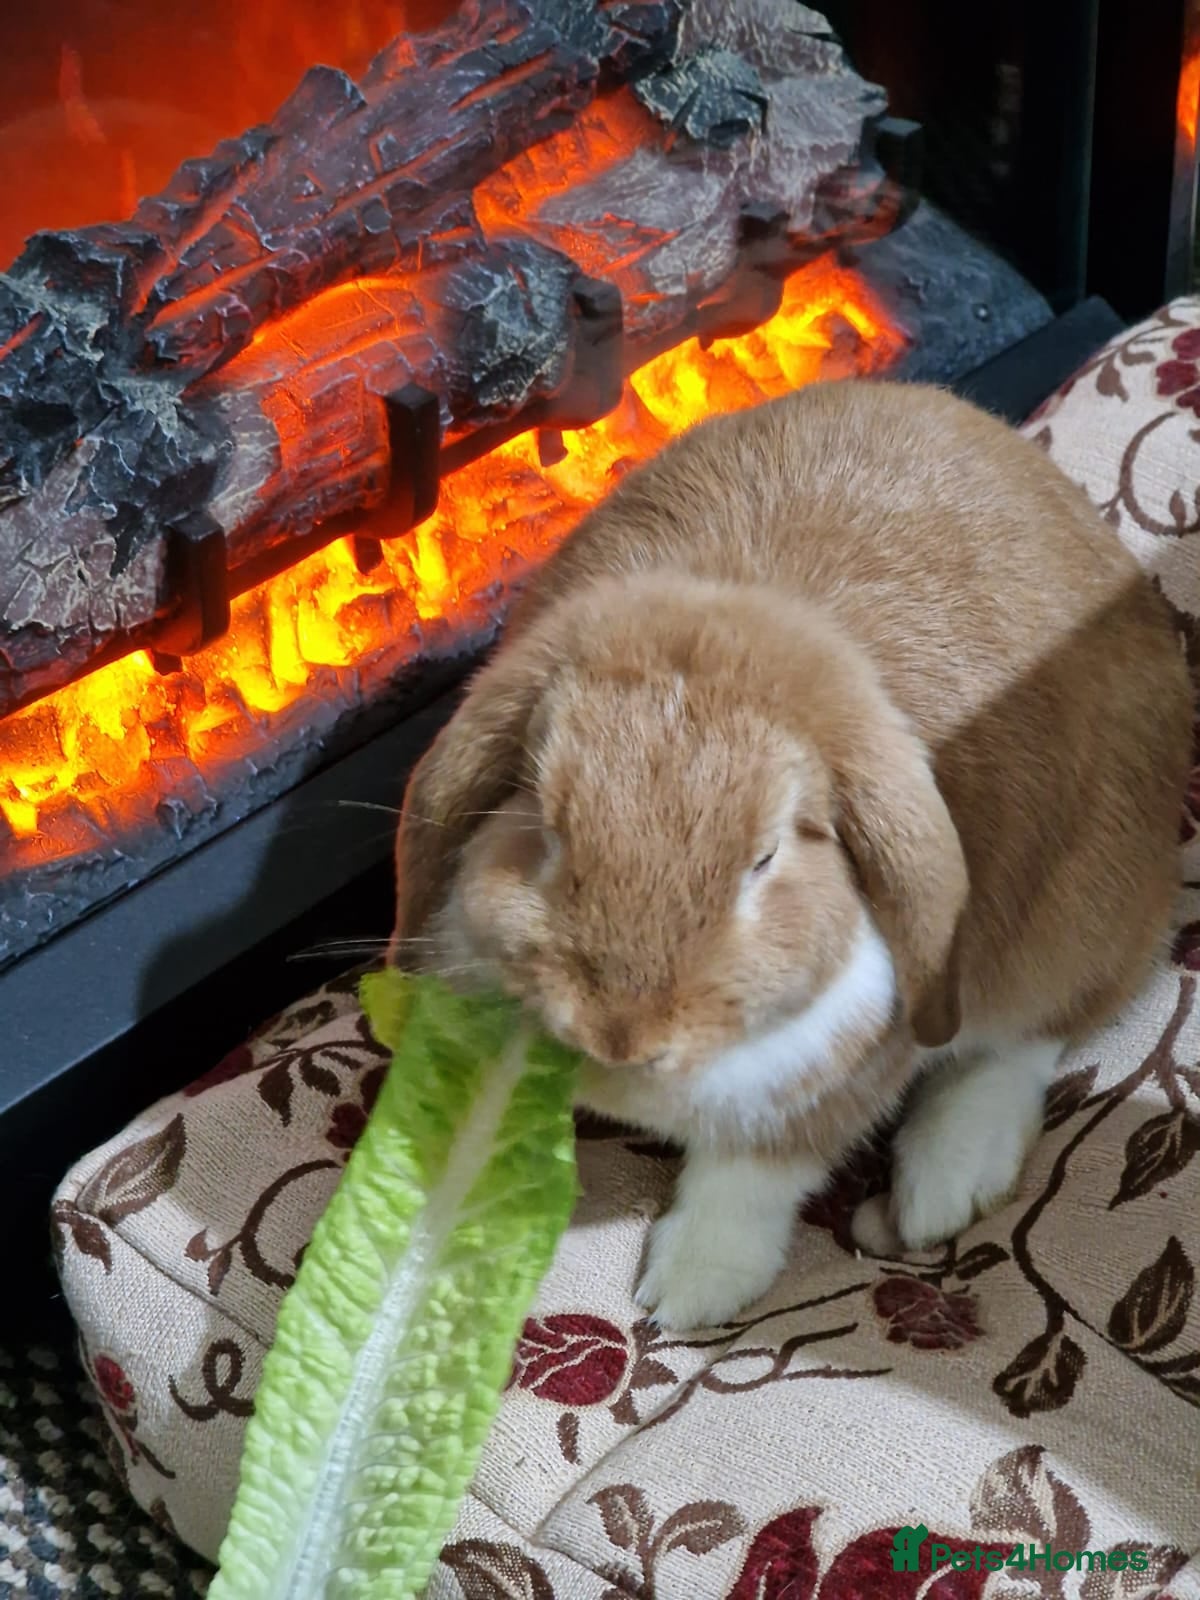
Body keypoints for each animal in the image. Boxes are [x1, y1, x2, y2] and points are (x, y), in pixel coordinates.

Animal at [389, 379, 1193, 1331]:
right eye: (542, 826)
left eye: (766, 859)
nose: (622, 1036)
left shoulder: (833, 1084)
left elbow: (754, 1178)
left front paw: (688, 1292)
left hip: (1079, 916)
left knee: (1038, 1030)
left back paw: (945, 1182)